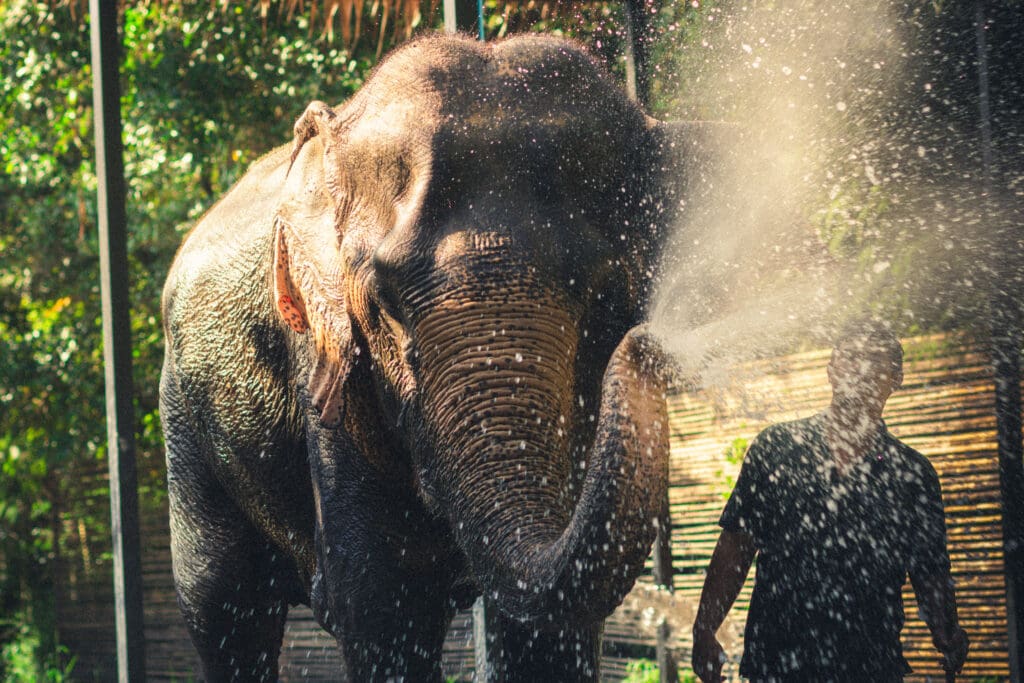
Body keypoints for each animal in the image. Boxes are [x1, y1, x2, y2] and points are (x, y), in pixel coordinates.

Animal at [160, 33, 691, 682]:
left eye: (606, 297)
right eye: (386, 302)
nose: (650, 343)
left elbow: (545, 630)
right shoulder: (329, 372)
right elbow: (385, 603)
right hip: (183, 418)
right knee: (222, 604)